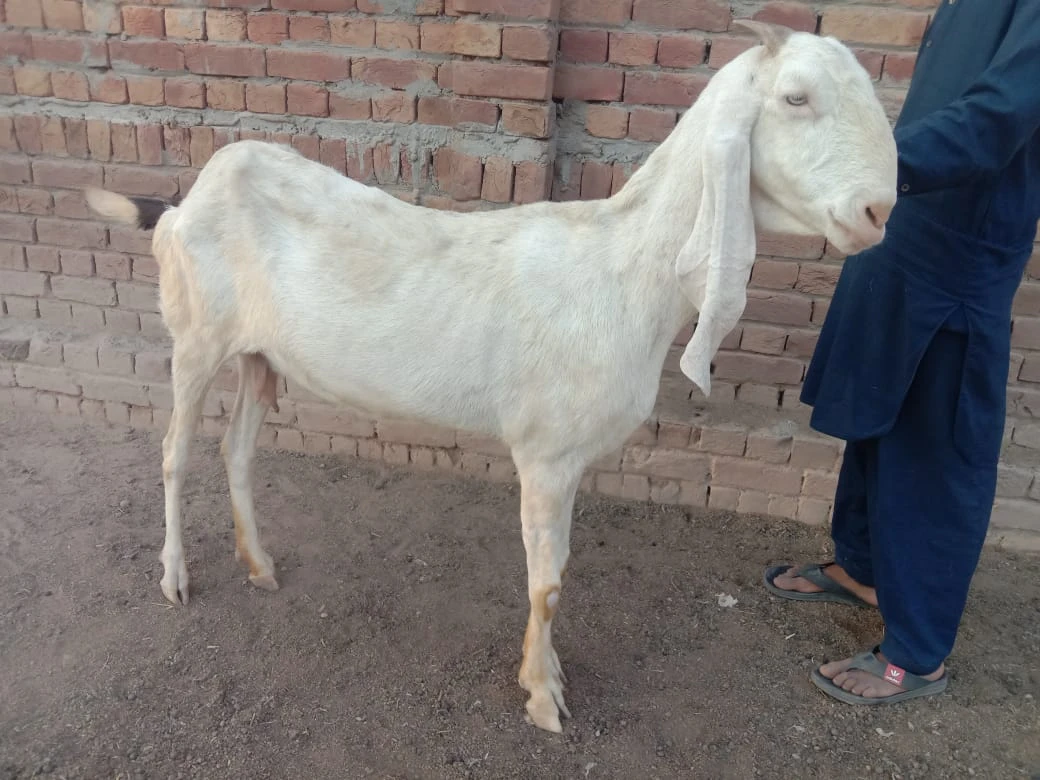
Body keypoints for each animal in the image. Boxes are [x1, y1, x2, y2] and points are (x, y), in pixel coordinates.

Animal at [87, 22, 894, 732]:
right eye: (795, 98)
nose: (876, 211)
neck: (623, 268)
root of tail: (185, 201)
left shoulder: (566, 459)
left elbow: (555, 573)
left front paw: (550, 676)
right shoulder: (546, 453)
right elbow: (549, 581)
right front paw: (543, 699)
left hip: (261, 356)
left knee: (237, 450)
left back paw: (258, 565)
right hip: (195, 337)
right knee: (174, 452)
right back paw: (175, 578)